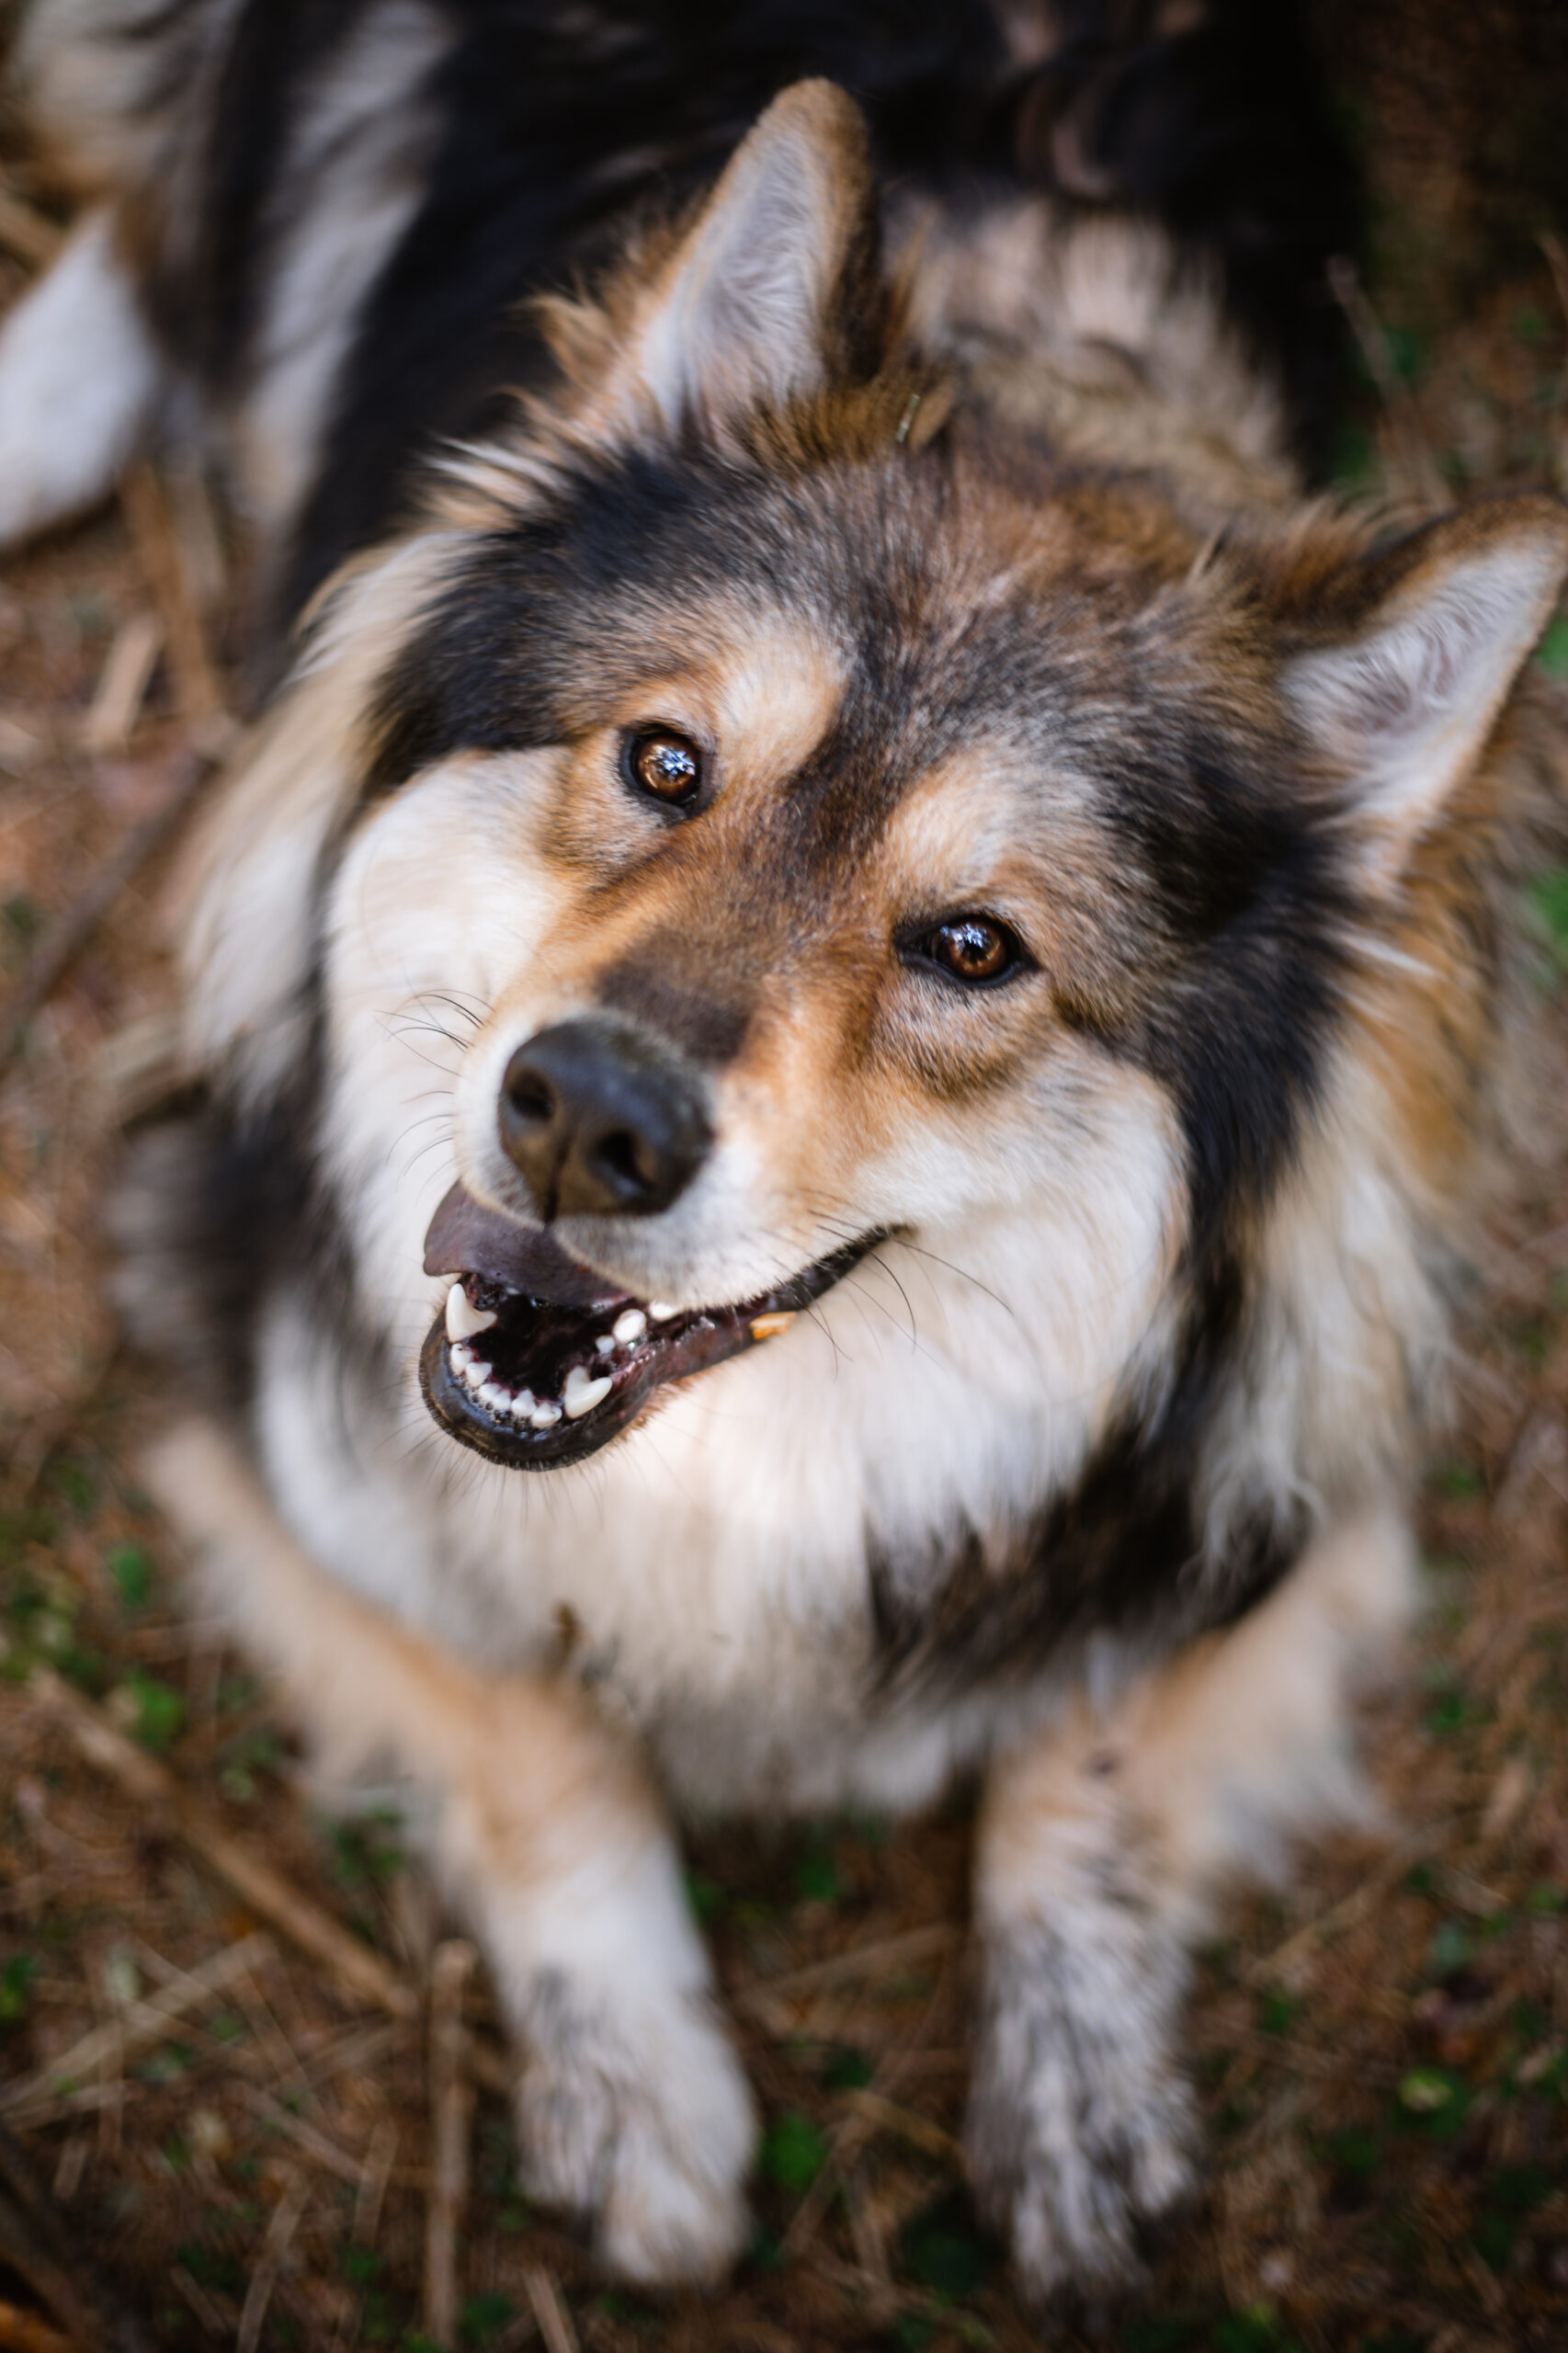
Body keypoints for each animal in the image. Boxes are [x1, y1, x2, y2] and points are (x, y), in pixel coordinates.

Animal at [3, 0, 1562, 2315]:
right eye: (663, 762)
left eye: (972, 948)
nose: (583, 1113)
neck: (735, 1467)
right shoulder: (252, 1371)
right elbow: (529, 1716)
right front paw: (643, 2094)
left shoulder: (1288, 1458)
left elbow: (1087, 1741)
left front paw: (1084, 2094)